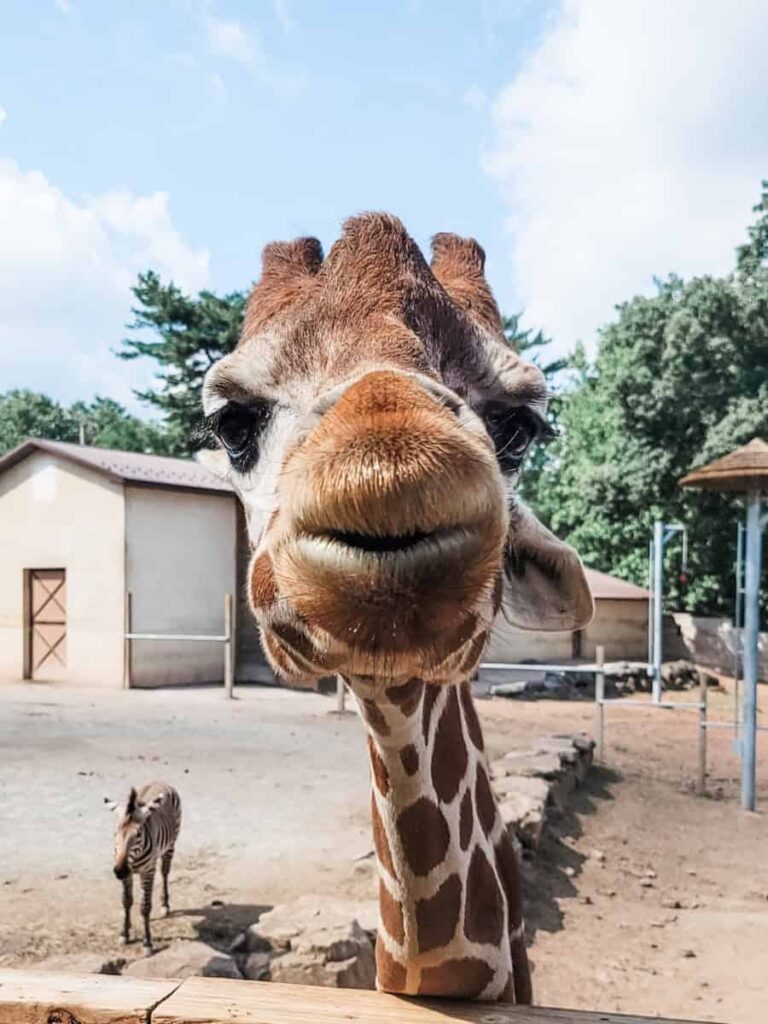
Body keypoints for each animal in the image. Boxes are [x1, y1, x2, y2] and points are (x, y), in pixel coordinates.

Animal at [103, 782, 182, 950]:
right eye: (115, 834)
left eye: (138, 835)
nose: (119, 871)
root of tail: (160, 781)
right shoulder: (128, 874)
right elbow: (126, 902)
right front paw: (125, 933)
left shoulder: (147, 871)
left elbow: (145, 907)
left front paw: (147, 942)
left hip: (171, 845)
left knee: (165, 873)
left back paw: (165, 904)